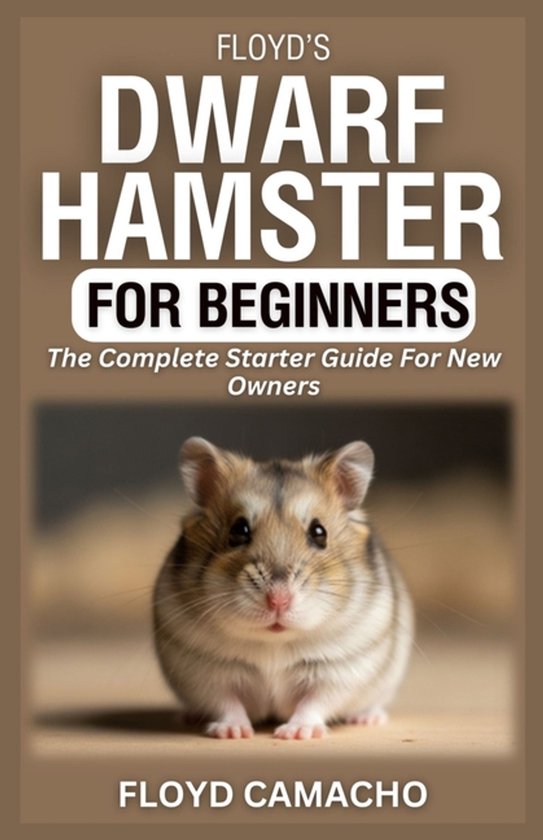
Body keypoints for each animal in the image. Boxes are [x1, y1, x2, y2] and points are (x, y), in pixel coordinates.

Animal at [153, 437, 413, 739]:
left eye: (319, 532)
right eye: (238, 531)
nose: (278, 600)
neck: (274, 642)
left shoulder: (339, 671)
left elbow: (314, 702)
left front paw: (296, 733)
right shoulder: (205, 671)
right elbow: (226, 702)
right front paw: (233, 732)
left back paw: (367, 719)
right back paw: (188, 716)